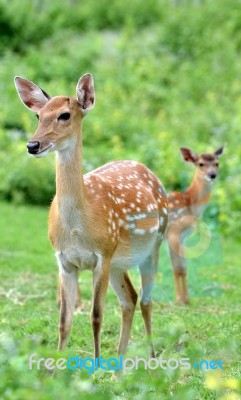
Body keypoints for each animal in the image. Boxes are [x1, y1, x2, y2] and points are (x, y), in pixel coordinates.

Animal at [13, 73, 168, 358]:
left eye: (64, 115)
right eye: (38, 116)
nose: (32, 145)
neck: (78, 227)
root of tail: (147, 169)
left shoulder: (102, 256)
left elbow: (96, 316)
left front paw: (96, 364)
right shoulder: (64, 261)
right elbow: (64, 320)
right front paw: (59, 365)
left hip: (155, 242)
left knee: (146, 299)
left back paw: (151, 359)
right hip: (119, 261)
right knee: (129, 298)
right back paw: (119, 361)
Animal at [167, 145, 223, 304]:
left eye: (217, 163)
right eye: (200, 164)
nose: (212, 175)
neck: (190, 205)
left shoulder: (183, 236)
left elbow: (184, 268)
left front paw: (187, 300)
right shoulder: (173, 232)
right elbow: (177, 268)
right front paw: (179, 300)